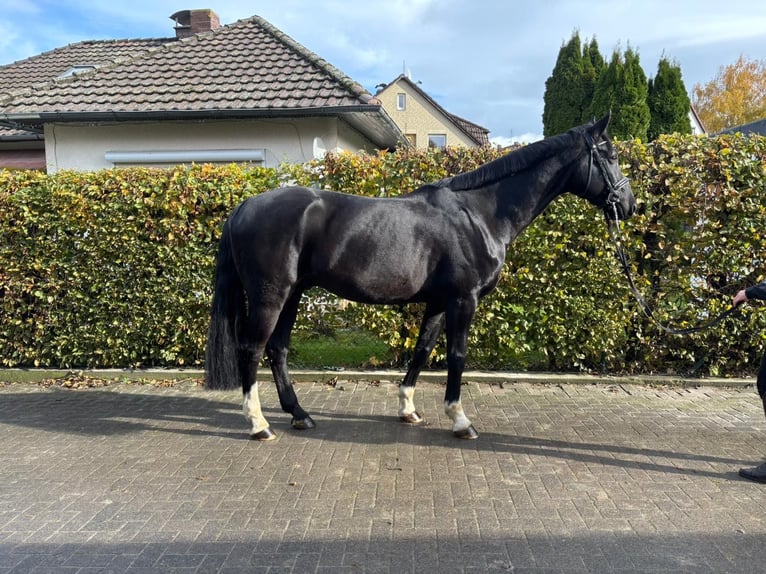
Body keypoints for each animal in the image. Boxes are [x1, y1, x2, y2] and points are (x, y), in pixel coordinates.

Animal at [205, 113, 636, 440]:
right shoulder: (464, 299)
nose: (630, 205)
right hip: (271, 296)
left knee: (277, 350)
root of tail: (245, 205)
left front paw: (408, 409)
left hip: (293, 294)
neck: (480, 213)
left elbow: (422, 350)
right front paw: (460, 420)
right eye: (610, 155)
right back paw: (259, 425)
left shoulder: (438, 302)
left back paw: (299, 415)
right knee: (253, 349)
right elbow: (456, 356)